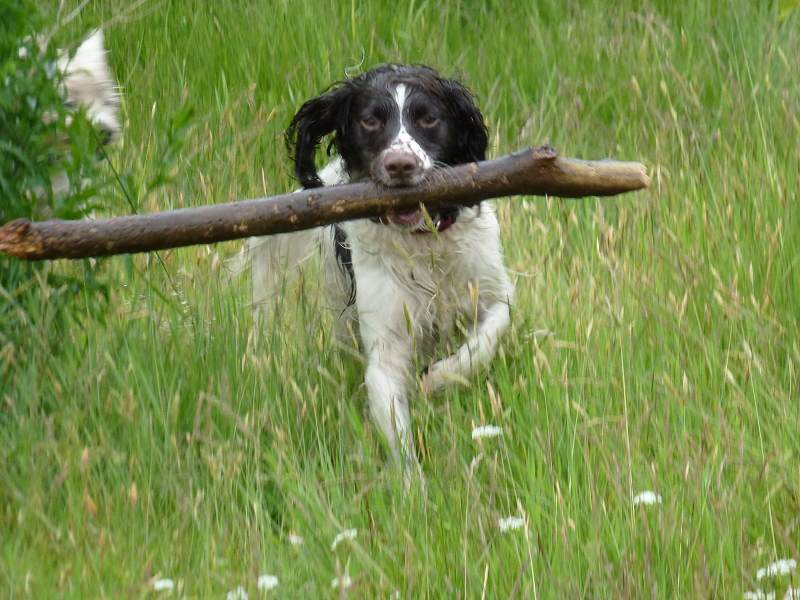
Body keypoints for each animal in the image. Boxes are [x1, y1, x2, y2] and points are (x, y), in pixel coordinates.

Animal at [242, 64, 512, 478]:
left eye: (429, 119)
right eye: (370, 121)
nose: (400, 164)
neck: (422, 242)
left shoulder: (492, 290)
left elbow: (487, 336)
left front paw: (436, 377)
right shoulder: (385, 344)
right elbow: (394, 418)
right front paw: (412, 488)